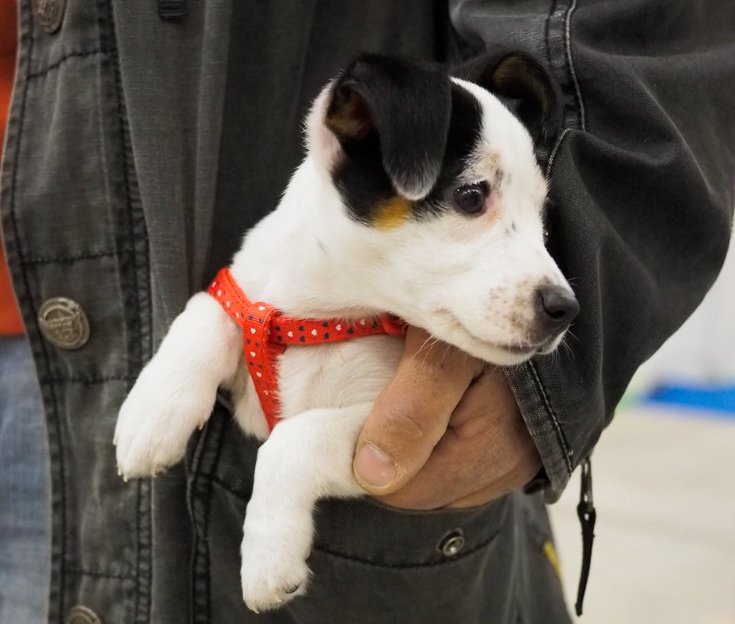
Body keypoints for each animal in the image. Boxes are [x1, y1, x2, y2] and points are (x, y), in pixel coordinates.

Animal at [113, 51, 580, 612]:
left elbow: (291, 438)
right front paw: (153, 414)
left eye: (544, 222)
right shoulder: (250, 296)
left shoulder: (388, 440)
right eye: (471, 196)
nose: (566, 309)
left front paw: (268, 556)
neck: (321, 313)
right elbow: (207, 309)